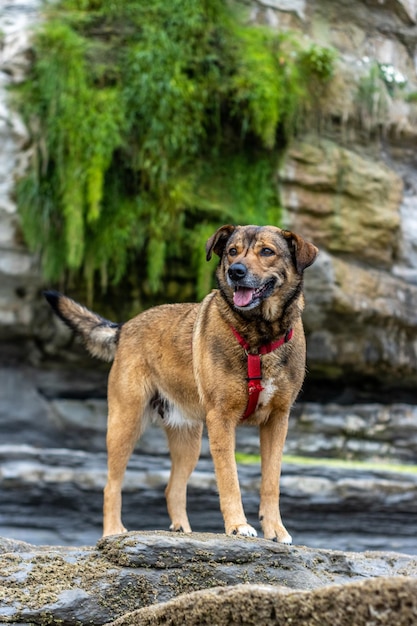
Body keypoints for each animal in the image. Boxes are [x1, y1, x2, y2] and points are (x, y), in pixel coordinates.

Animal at [45, 224, 316, 540]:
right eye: (232, 251)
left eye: (267, 251)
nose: (235, 272)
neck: (259, 337)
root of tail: (125, 327)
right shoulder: (221, 421)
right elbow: (230, 479)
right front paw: (237, 525)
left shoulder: (277, 421)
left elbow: (271, 482)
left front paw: (275, 529)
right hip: (125, 423)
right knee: (111, 485)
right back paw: (113, 531)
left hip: (188, 440)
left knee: (172, 489)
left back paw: (182, 531)